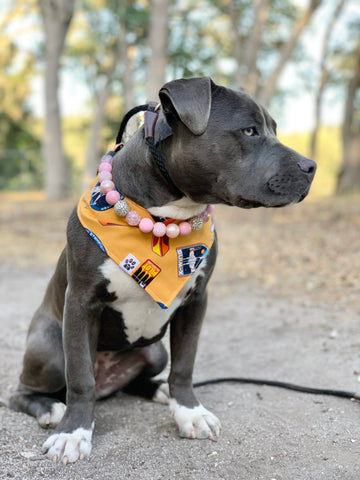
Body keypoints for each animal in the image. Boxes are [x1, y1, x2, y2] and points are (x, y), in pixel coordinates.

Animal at [9, 77, 316, 464]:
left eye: (274, 129)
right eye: (250, 130)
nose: (312, 167)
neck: (165, 218)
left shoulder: (196, 300)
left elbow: (184, 365)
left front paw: (189, 414)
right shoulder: (80, 302)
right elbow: (80, 376)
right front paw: (73, 433)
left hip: (155, 352)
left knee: (143, 376)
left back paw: (157, 390)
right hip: (50, 348)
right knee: (24, 392)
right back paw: (51, 408)